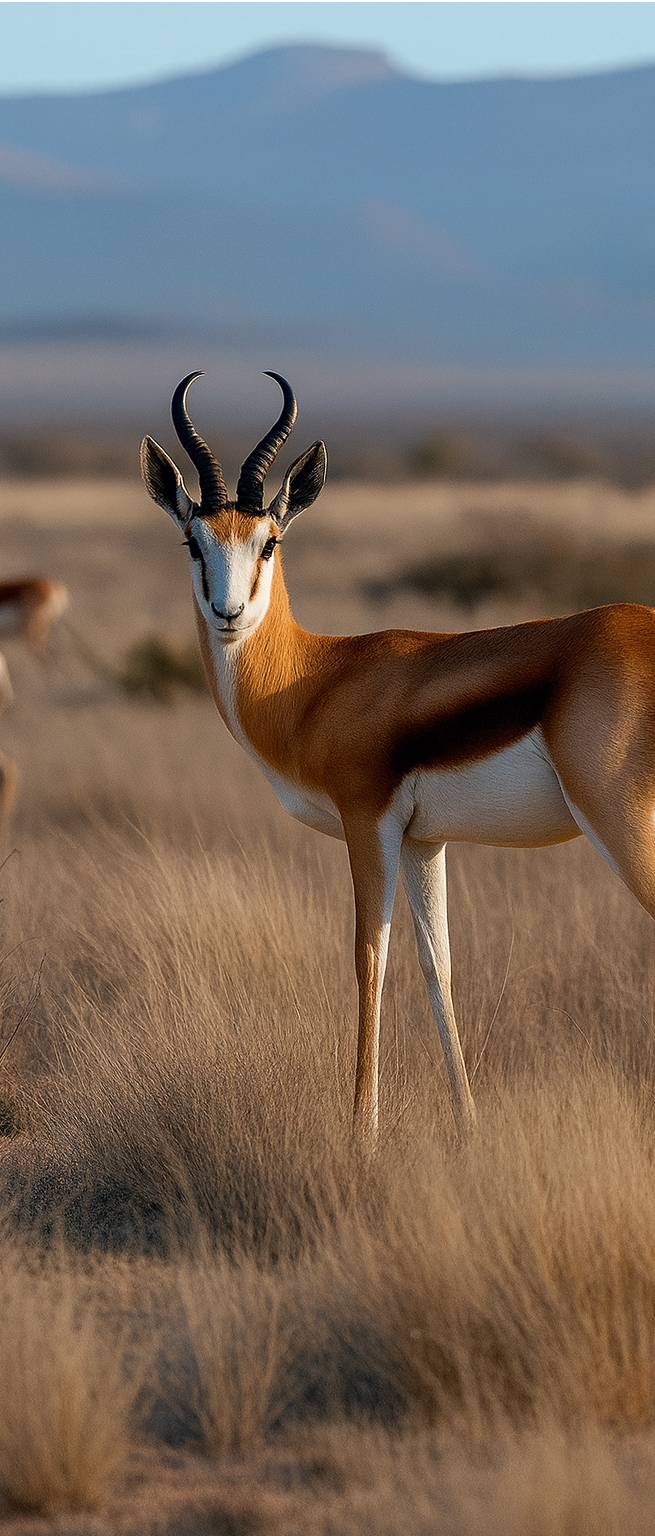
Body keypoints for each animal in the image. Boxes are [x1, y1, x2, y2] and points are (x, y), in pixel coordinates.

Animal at [142, 372, 655, 1142]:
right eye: (193, 542)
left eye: (268, 541)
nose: (229, 614)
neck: (316, 678)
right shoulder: (423, 841)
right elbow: (436, 967)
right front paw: (468, 1127)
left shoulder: (368, 823)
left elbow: (369, 961)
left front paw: (362, 1134)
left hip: (620, 820)